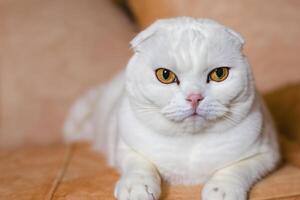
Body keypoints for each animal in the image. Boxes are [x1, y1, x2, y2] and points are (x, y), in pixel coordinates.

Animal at [63, 17, 282, 200]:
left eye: (219, 74)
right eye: (165, 75)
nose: (194, 97)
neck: (190, 144)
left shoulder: (265, 154)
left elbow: (236, 169)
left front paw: (221, 191)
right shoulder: (123, 146)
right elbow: (139, 164)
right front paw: (137, 188)